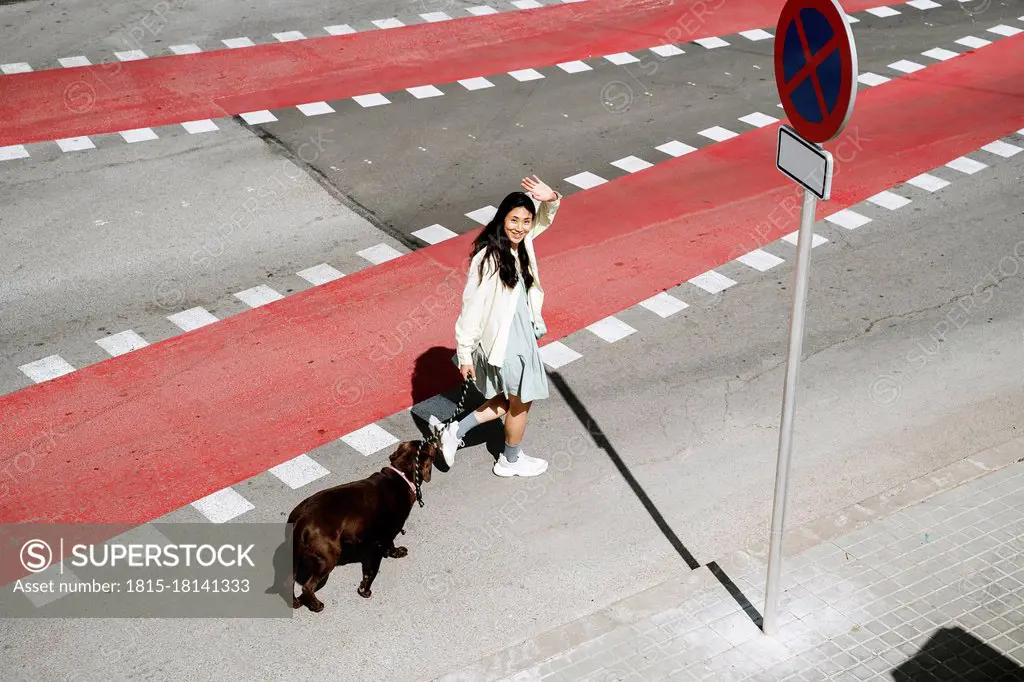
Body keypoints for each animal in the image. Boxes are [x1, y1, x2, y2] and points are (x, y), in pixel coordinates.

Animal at [286, 438, 438, 614]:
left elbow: (391, 545)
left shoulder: (386, 535)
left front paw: (396, 552)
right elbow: (372, 571)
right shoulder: (378, 544)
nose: (434, 439)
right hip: (328, 556)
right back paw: (316, 605)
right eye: (428, 445)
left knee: (289, 580)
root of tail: (300, 519)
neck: (400, 477)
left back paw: (295, 602)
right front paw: (365, 590)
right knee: (307, 587)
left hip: (295, 555)